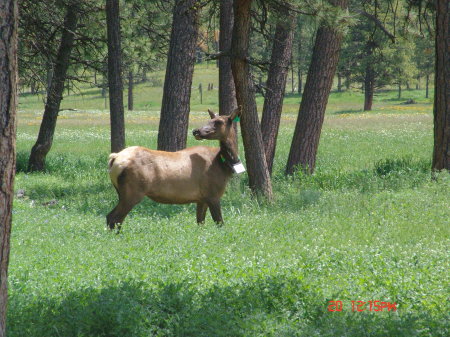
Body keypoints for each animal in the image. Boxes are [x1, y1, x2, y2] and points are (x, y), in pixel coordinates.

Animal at [107, 109, 244, 230]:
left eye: (219, 122)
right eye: (210, 120)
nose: (196, 131)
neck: (223, 165)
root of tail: (114, 158)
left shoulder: (202, 198)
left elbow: (200, 222)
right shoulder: (213, 194)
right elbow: (220, 223)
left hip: (121, 192)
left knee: (110, 217)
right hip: (132, 192)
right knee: (115, 218)